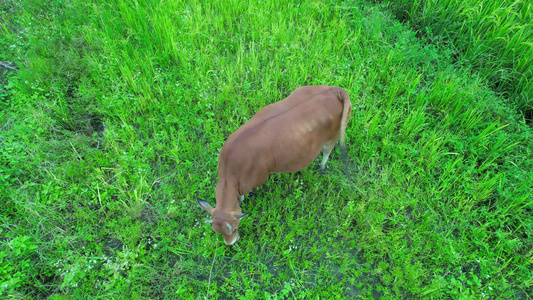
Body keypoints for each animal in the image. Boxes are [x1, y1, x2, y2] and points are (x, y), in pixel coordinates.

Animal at [197, 85, 352, 245]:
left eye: (234, 230)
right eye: (216, 231)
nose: (230, 244)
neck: (231, 174)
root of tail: (335, 89)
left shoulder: (259, 178)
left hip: (332, 137)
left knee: (327, 153)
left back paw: (321, 167)